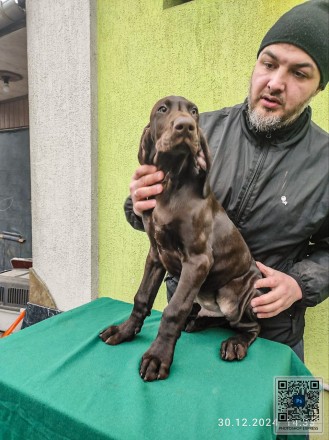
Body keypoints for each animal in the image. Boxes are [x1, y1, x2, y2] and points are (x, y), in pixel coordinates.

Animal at [100, 96, 262, 382]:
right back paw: (196, 322)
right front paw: (124, 331)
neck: (170, 183)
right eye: (163, 109)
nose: (186, 126)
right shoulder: (156, 254)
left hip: (234, 296)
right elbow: (142, 297)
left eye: (195, 112)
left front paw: (157, 357)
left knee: (251, 326)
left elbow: (173, 311)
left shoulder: (198, 261)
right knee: (211, 316)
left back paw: (235, 343)